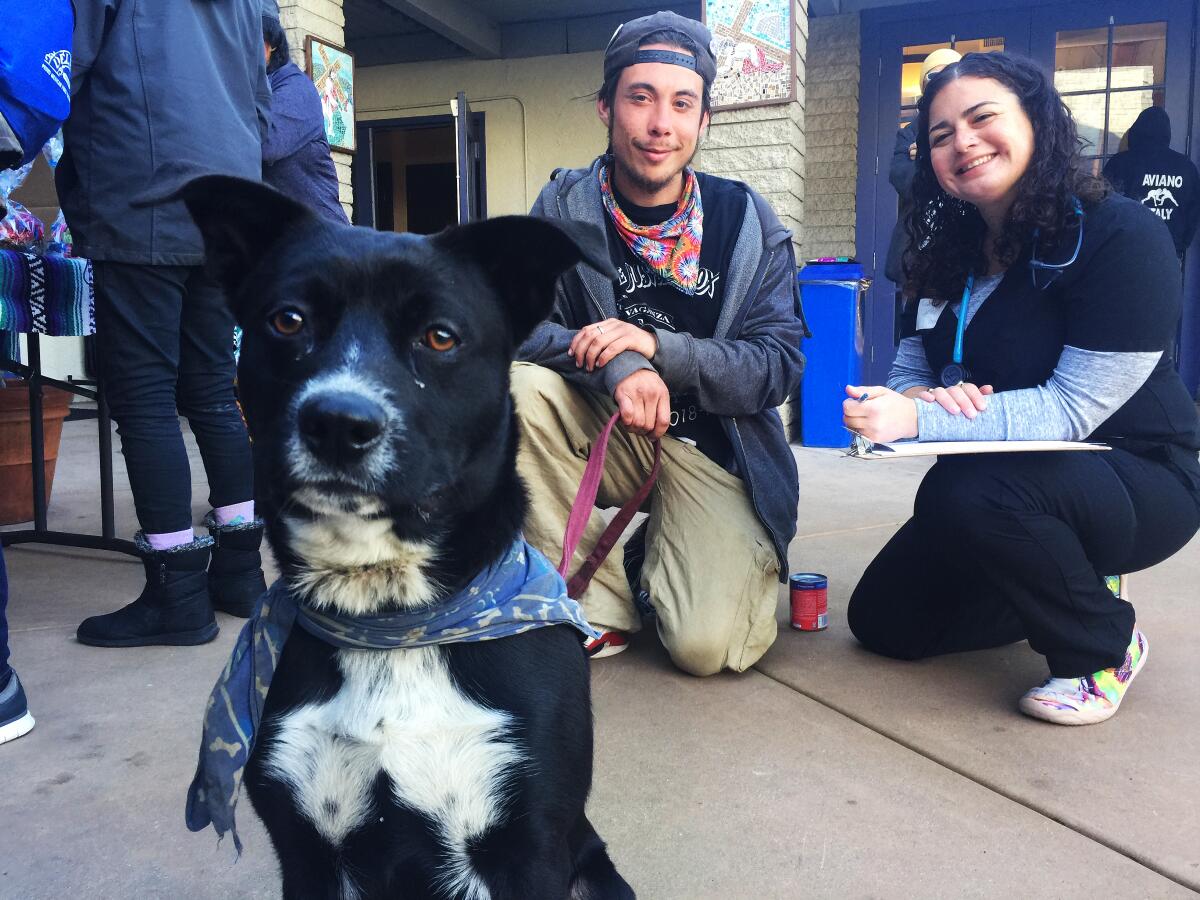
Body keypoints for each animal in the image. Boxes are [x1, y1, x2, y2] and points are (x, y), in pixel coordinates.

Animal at [175, 177, 638, 900]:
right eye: (288, 321)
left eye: (440, 336)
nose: (338, 423)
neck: (391, 620)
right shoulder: (306, 853)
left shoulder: (528, 842)